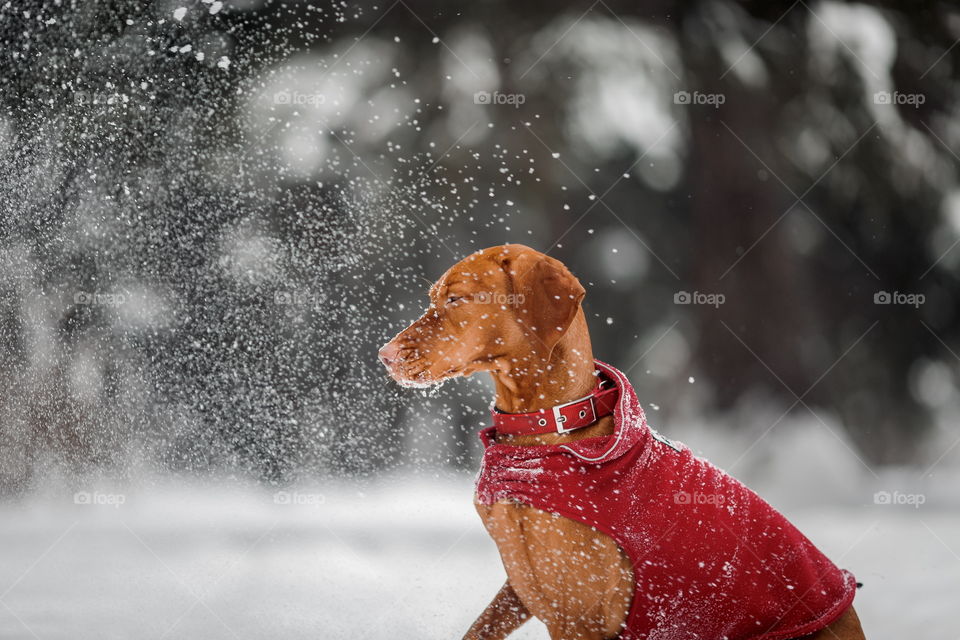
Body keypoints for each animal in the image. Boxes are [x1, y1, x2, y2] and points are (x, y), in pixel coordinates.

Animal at [378, 245, 868, 640]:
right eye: (433, 298)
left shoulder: (580, 616)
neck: (542, 433)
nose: (385, 355)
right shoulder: (521, 588)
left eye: (457, 298)